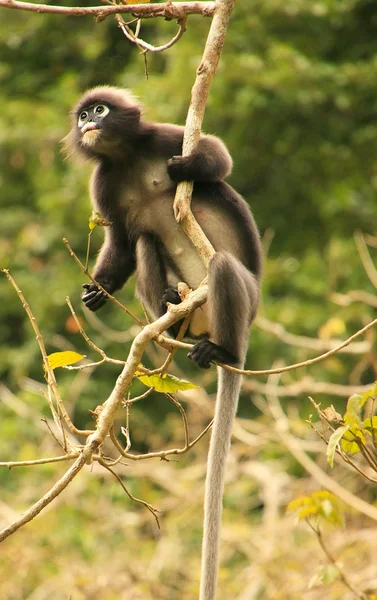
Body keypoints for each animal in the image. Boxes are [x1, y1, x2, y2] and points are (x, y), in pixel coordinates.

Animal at [64, 86, 262, 596]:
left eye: (101, 110)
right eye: (83, 115)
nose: (88, 122)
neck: (125, 156)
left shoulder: (161, 137)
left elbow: (219, 157)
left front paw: (184, 169)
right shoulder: (102, 182)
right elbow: (120, 240)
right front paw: (100, 289)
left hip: (242, 299)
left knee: (224, 267)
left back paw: (223, 351)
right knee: (145, 240)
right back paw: (170, 318)